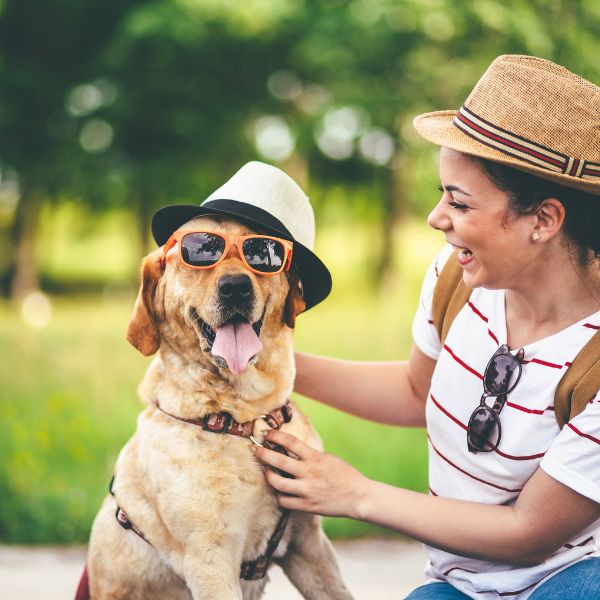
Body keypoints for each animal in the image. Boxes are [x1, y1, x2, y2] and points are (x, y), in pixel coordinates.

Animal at [85, 212, 356, 600]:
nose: (236, 287)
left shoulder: (308, 542)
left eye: (262, 254)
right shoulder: (209, 559)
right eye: (199, 252)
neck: (243, 419)